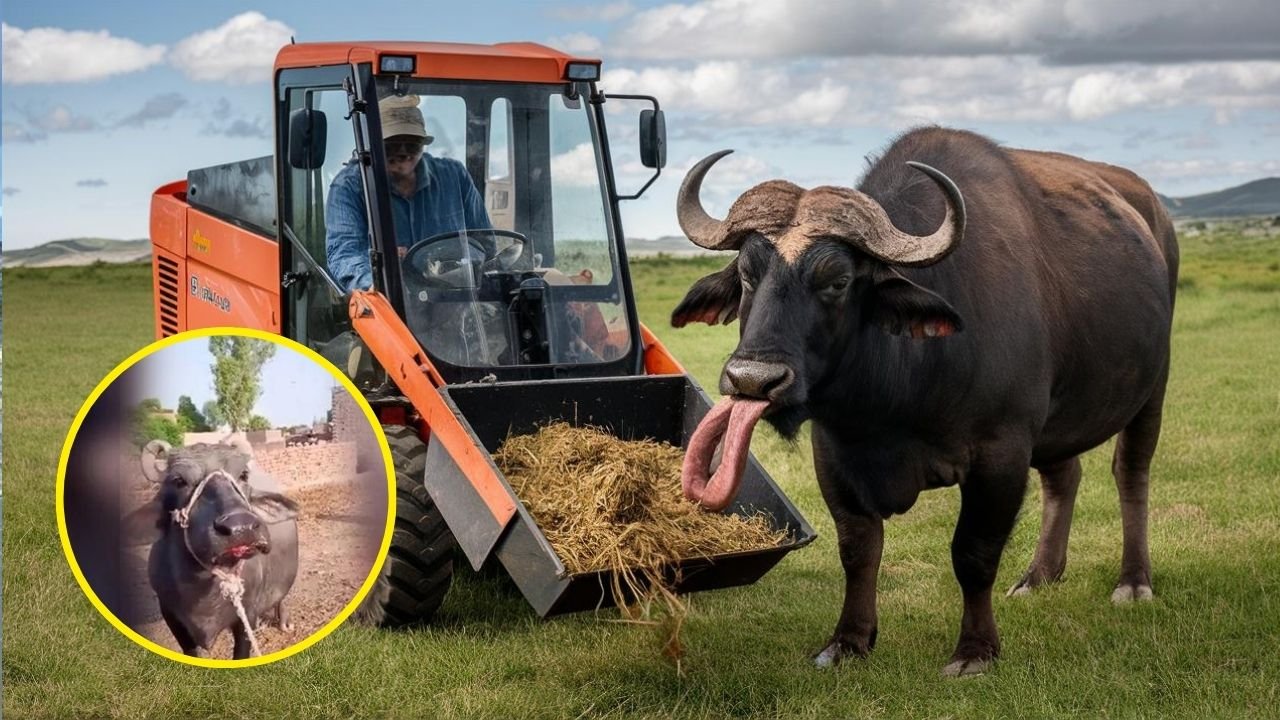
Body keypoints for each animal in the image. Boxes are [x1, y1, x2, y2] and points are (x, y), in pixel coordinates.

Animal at [127, 438, 299, 659]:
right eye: (179, 481)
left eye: (243, 475)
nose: (241, 528)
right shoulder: (169, 613)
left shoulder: (247, 613)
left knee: (280, 597)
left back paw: (284, 622)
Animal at [675, 127, 1178, 675]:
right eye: (748, 274)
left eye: (838, 281)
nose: (753, 379)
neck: (892, 405)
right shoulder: (833, 455)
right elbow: (858, 549)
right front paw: (848, 641)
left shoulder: (1001, 454)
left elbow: (973, 553)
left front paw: (975, 651)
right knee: (1064, 475)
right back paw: (1038, 576)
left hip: (1153, 387)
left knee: (1131, 473)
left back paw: (1133, 582)